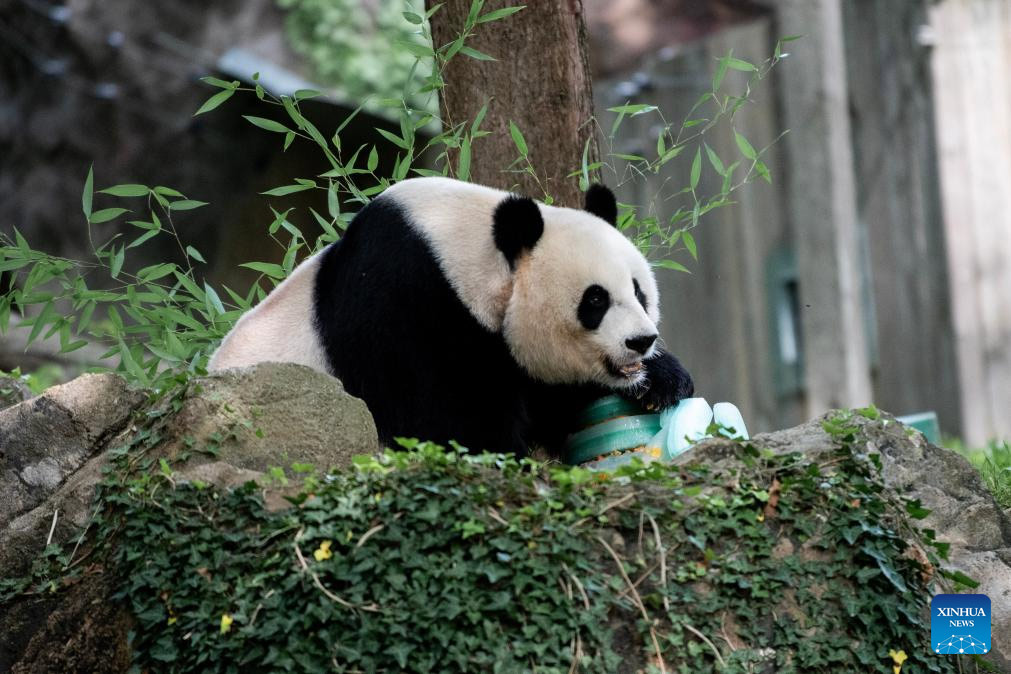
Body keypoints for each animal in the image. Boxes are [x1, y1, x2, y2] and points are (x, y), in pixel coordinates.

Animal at [208, 176, 691, 456]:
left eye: (638, 291)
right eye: (594, 301)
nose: (641, 341)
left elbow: (547, 398)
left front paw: (663, 382)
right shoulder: (403, 304)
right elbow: (439, 422)